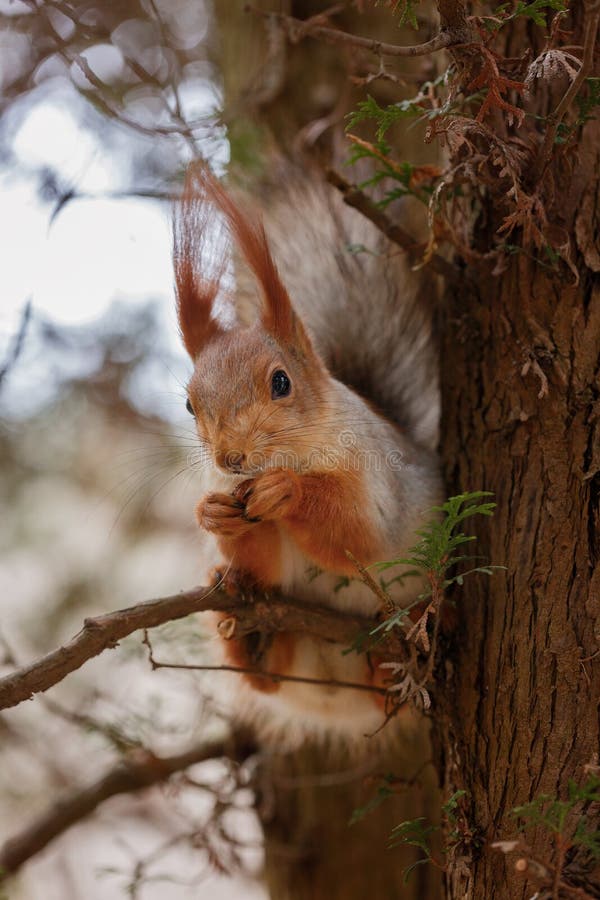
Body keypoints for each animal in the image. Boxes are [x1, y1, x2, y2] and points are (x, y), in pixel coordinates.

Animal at [173, 164, 442, 746]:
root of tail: (337, 704)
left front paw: (287, 492)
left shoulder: (377, 477)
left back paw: (390, 667)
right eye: (188, 403)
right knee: (267, 679)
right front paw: (213, 514)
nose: (231, 459)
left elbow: (359, 536)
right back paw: (252, 640)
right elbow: (265, 563)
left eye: (281, 382)